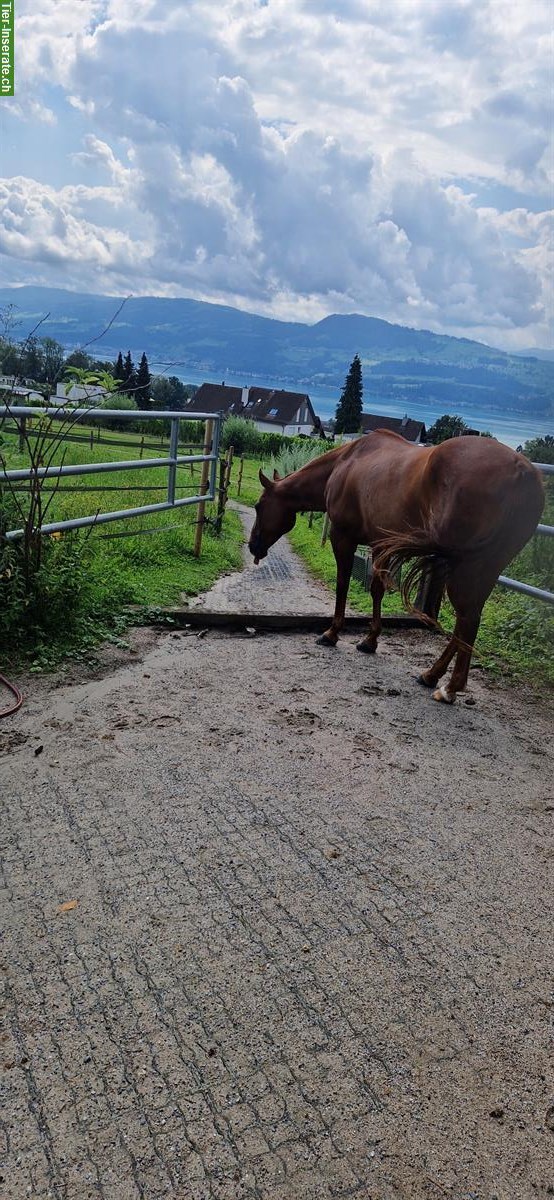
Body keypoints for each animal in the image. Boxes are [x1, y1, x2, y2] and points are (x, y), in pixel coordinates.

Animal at [249, 432, 542, 700]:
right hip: (485, 571)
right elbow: (377, 589)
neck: (346, 463)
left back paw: (449, 688)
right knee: (468, 620)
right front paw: (370, 641)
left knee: (467, 619)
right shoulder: (380, 544)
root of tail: (520, 471)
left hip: (464, 568)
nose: (253, 546)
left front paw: (332, 633)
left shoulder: (342, 537)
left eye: (258, 505)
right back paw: (431, 676)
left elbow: (343, 583)